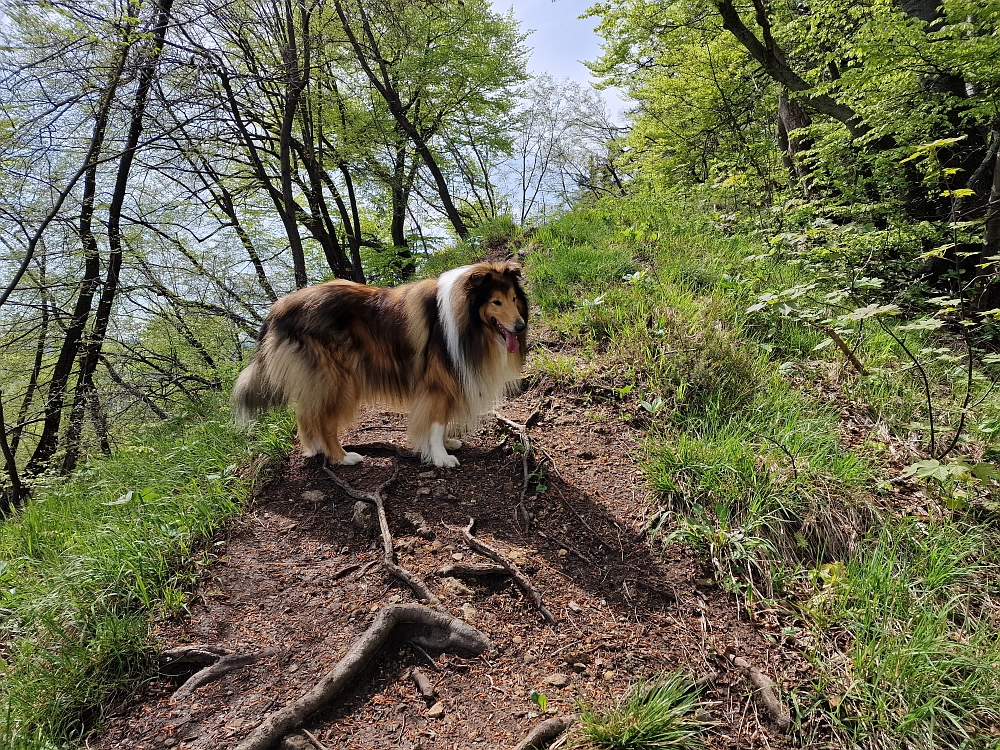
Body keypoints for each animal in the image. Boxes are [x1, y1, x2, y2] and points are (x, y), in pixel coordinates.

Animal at [233, 262, 528, 468]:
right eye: (496, 301)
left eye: (514, 298)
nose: (520, 326)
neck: (462, 318)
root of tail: (275, 310)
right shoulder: (437, 384)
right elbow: (435, 423)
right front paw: (440, 457)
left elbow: (441, 423)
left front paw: (447, 444)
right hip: (339, 381)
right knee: (325, 422)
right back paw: (342, 457)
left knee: (307, 416)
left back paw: (316, 448)